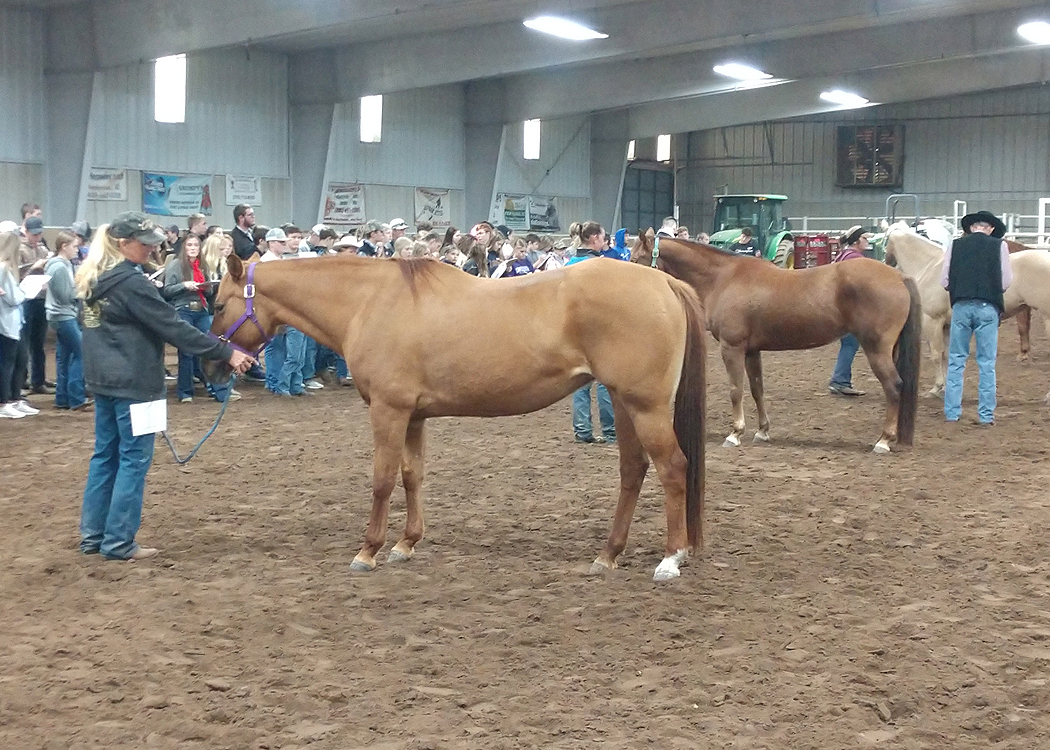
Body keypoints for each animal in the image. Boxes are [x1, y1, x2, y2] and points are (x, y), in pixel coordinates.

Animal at [206, 251, 705, 579]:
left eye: (218, 304)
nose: (214, 367)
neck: (370, 302)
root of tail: (663, 282)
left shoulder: (388, 411)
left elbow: (383, 479)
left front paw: (368, 551)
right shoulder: (413, 416)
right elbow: (412, 475)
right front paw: (406, 543)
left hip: (645, 406)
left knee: (672, 468)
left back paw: (670, 558)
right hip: (623, 401)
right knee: (633, 470)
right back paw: (609, 554)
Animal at [630, 228, 919, 449]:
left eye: (636, 259)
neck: (724, 277)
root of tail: (898, 276)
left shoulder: (732, 348)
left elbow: (736, 389)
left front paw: (735, 434)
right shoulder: (751, 350)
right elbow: (757, 389)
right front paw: (762, 431)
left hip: (877, 348)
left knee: (894, 386)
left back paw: (883, 440)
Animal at [886, 227, 1033, 394]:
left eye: (885, 239)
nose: (886, 262)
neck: (930, 266)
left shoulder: (932, 321)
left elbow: (936, 354)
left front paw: (937, 387)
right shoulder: (947, 325)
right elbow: (946, 355)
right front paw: (945, 386)